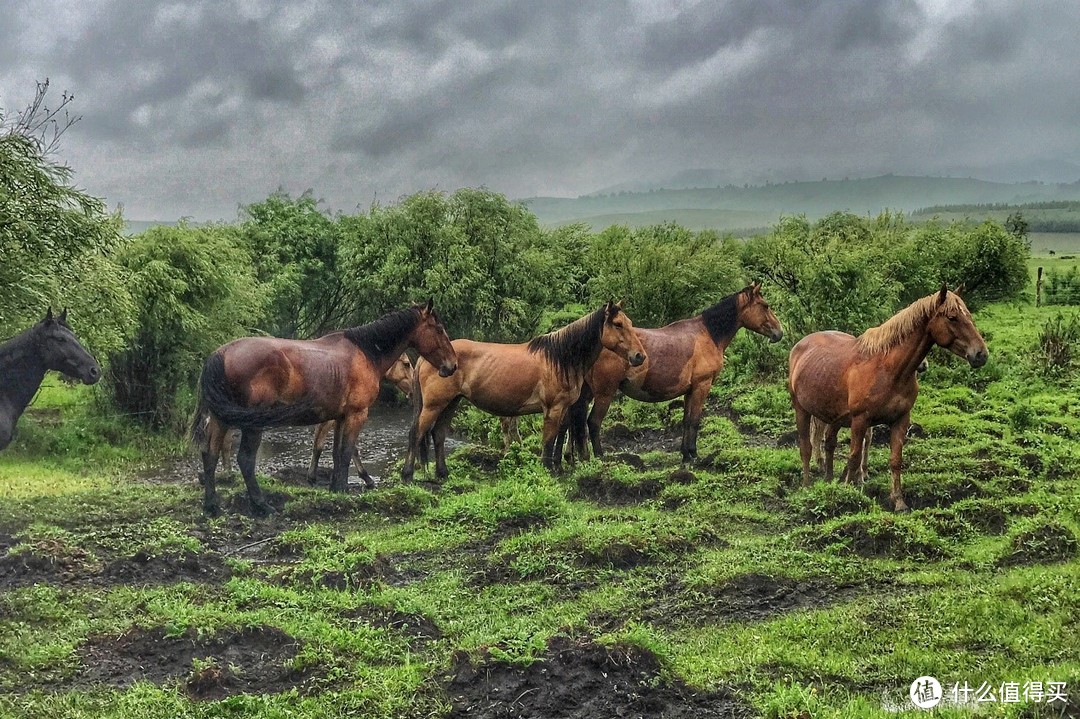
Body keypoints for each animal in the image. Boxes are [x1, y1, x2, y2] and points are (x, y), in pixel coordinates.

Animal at [194, 300, 455, 511]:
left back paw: (212, 505)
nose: (452, 365)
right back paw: (261, 505)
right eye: (439, 329)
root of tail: (221, 353)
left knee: (210, 454)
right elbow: (347, 451)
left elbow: (337, 453)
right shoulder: (357, 414)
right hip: (252, 424)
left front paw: (335, 489)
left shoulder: (340, 417)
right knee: (245, 460)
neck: (365, 353)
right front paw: (345, 489)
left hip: (221, 419)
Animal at [403, 300, 639, 479]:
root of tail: (426, 359)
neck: (560, 359)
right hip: (434, 405)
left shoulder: (563, 408)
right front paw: (547, 469)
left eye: (629, 323)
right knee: (416, 432)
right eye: (617, 324)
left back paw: (442, 473)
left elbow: (560, 435)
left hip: (451, 402)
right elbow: (548, 440)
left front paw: (558, 466)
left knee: (438, 434)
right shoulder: (552, 408)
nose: (639, 356)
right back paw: (408, 475)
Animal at [565, 282, 786, 462]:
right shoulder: (702, 386)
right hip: (605, 393)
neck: (708, 334)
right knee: (593, 423)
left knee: (576, 423)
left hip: (586, 393)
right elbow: (695, 421)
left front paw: (685, 453)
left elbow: (687, 421)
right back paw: (599, 457)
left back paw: (580, 457)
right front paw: (693, 455)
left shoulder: (690, 390)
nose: (779, 333)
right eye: (765, 305)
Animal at [790, 285, 984, 509]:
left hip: (834, 416)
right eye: (952, 318)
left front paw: (899, 501)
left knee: (829, 443)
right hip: (802, 410)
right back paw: (806, 485)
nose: (981, 354)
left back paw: (829, 480)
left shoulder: (901, 419)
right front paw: (848, 492)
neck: (890, 370)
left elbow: (895, 460)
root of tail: (800, 345)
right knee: (806, 448)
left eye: (968, 314)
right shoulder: (860, 421)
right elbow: (854, 457)